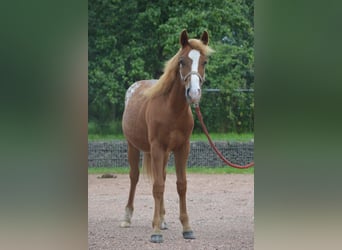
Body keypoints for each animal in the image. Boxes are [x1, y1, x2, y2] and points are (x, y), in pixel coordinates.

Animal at [119, 29, 211, 242]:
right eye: (182, 61)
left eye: (204, 62)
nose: (194, 93)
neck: (172, 109)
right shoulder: (157, 148)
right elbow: (157, 186)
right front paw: (155, 232)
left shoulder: (181, 148)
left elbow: (180, 184)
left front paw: (186, 227)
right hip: (132, 146)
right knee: (134, 177)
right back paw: (127, 217)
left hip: (164, 153)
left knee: (161, 176)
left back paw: (162, 219)